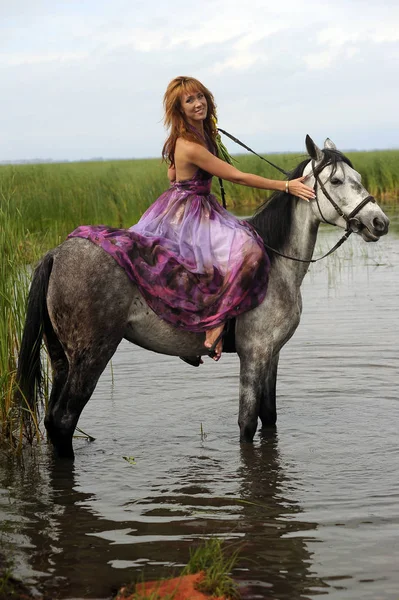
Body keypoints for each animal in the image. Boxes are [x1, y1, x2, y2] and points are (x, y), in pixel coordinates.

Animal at [17, 136, 390, 458]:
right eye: (337, 181)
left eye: (357, 177)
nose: (380, 222)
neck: (276, 263)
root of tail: (56, 254)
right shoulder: (254, 354)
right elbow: (247, 424)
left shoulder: (272, 354)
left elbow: (269, 417)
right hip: (91, 356)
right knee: (64, 420)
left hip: (61, 358)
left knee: (52, 421)